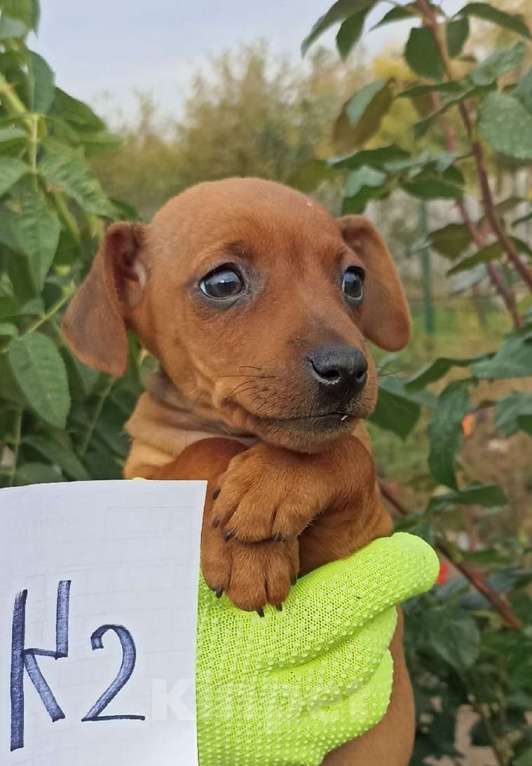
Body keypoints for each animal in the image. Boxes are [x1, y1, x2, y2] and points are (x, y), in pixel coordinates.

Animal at [61, 177, 412, 764]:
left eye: (353, 280)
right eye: (223, 282)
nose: (346, 370)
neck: (253, 439)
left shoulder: (362, 537)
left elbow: (343, 453)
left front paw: (270, 489)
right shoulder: (144, 475)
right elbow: (205, 450)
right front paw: (245, 549)